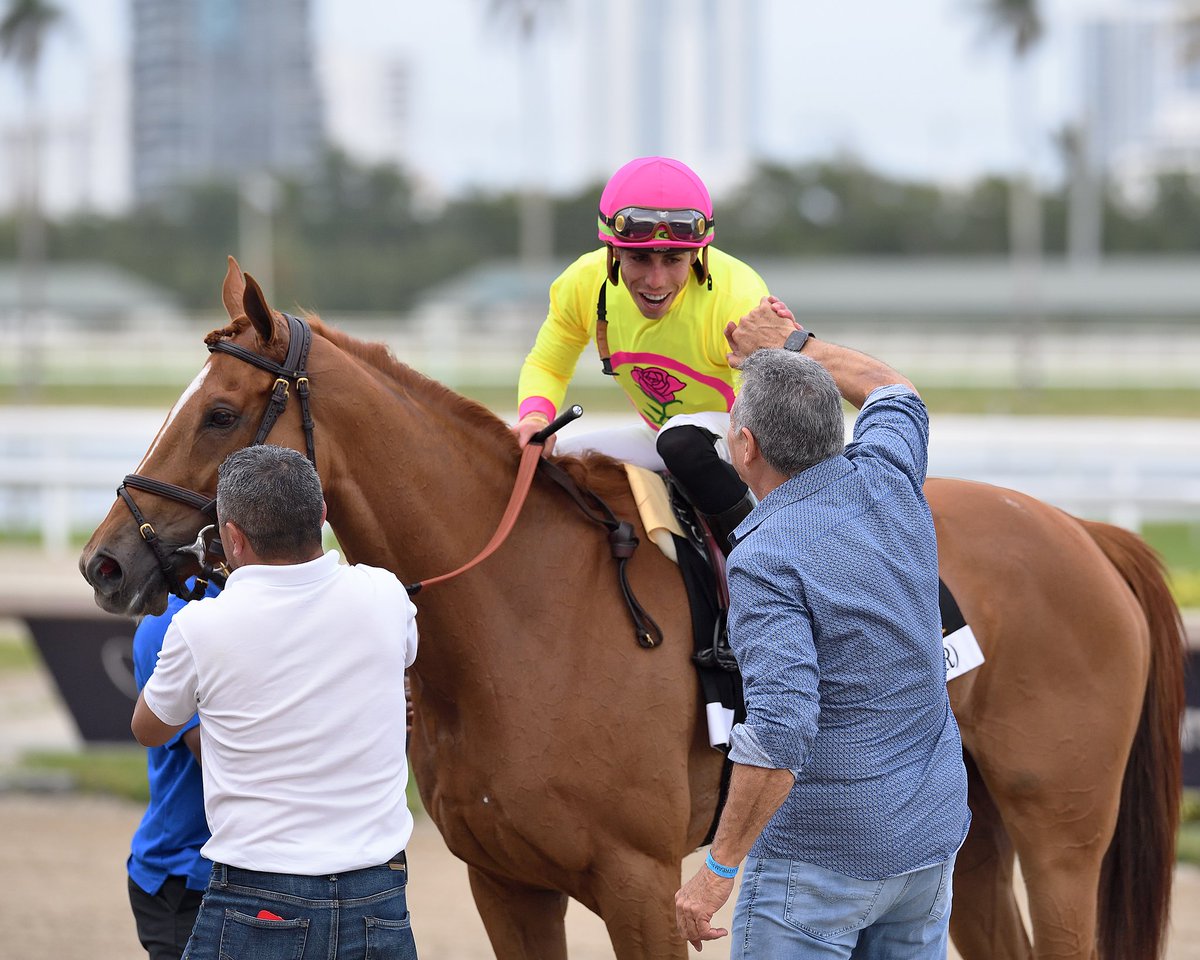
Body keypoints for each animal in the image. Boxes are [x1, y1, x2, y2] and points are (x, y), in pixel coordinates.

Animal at [79, 256, 1185, 960]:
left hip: (1060, 831)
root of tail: (1085, 532)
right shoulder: (505, 883)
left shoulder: (643, 884)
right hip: (963, 831)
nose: (105, 562)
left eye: (220, 412)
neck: (517, 616)